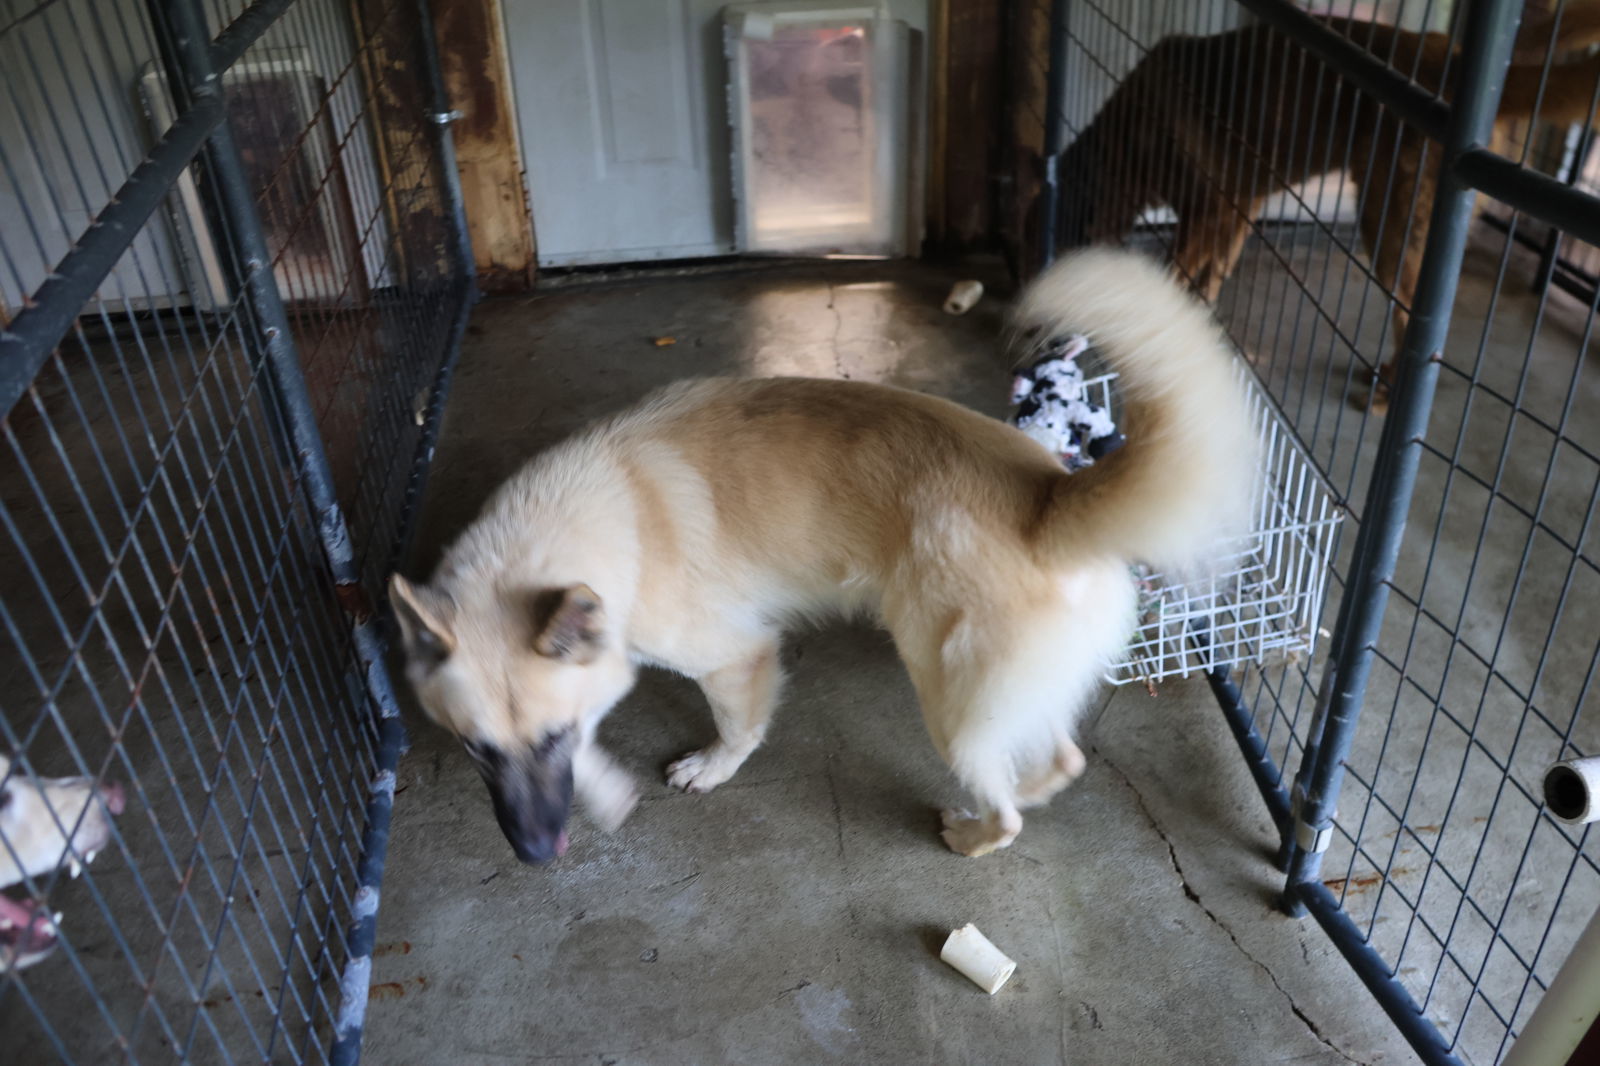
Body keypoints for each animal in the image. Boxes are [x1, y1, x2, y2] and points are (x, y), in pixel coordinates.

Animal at [393, 251, 1254, 864]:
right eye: (474, 748)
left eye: (551, 739)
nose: (536, 854)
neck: (598, 520)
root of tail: (1050, 498)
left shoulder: (732, 657)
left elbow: (736, 726)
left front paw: (708, 768)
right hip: (1002, 700)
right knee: (1059, 762)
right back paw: (1026, 794)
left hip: (952, 704)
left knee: (1006, 806)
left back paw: (970, 834)